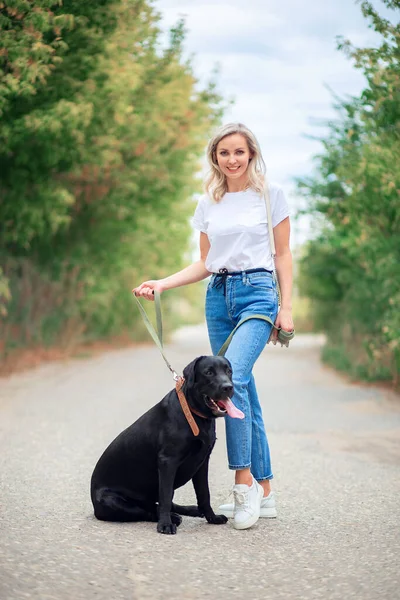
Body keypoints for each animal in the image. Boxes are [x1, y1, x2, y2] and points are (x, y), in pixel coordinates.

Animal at [91, 354, 244, 532]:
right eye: (208, 372)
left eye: (229, 371)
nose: (228, 387)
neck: (193, 413)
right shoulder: (167, 461)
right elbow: (165, 497)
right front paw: (165, 524)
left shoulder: (202, 462)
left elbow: (204, 493)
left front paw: (212, 518)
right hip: (111, 500)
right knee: (148, 510)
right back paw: (172, 518)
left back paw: (190, 510)